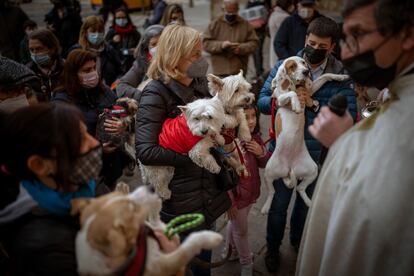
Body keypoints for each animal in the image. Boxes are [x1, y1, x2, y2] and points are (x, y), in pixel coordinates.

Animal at [73, 183, 225, 276]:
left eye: (120, 197)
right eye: (132, 209)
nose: (151, 187)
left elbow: (155, 220)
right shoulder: (164, 265)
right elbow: (187, 247)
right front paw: (209, 238)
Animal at [262, 56, 350, 213]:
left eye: (303, 63)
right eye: (292, 66)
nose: (306, 71)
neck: (295, 85)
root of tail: (289, 168)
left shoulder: (310, 89)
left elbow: (325, 76)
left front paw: (340, 76)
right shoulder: (280, 99)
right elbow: (291, 94)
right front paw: (297, 105)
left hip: (313, 170)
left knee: (300, 188)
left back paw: (309, 202)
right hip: (268, 171)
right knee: (272, 191)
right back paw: (266, 207)